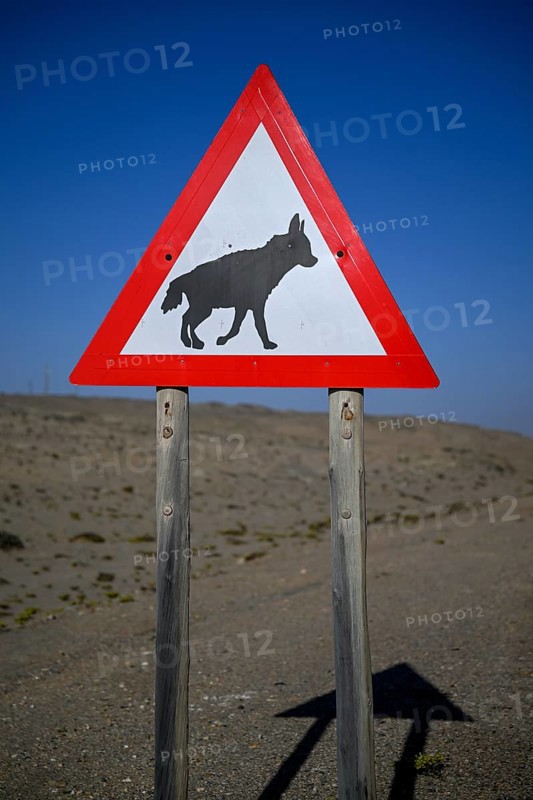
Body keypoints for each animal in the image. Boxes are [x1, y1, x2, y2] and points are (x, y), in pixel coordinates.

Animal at [161, 213, 318, 350]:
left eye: (309, 246)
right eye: (304, 247)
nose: (315, 260)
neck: (269, 263)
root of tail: (187, 276)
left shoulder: (242, 306)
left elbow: (236, 327)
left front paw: (223, 339)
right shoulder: (257, 304)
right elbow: (260, 325)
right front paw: (267, 345)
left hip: (203, 308)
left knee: (186, 318)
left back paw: (191, 342)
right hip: (204, 308)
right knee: (188, 320)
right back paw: (192, 342)